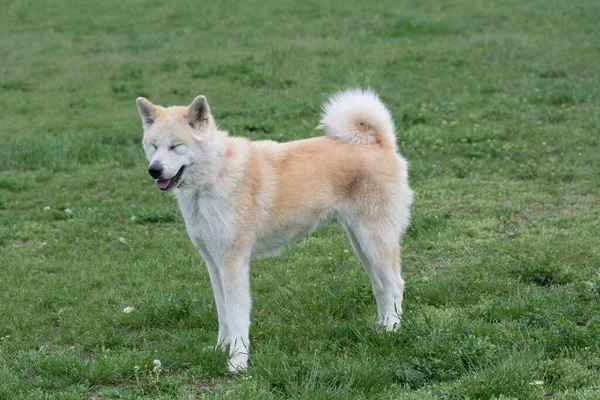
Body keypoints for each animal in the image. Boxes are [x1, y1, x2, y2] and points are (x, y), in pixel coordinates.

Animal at [135, 90, 412, 372]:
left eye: (176, 145)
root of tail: (378, 143)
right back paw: (381, 327)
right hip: (361, 243)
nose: (154, 170)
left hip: (375, 240)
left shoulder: (233, 263)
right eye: (154, 146)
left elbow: (236, 316)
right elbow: (223, 314)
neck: (214, 176)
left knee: (396, 285)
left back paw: (392, 329)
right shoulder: (213, 263)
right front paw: (220, 349)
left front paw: (238, 360)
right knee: (380, 286)